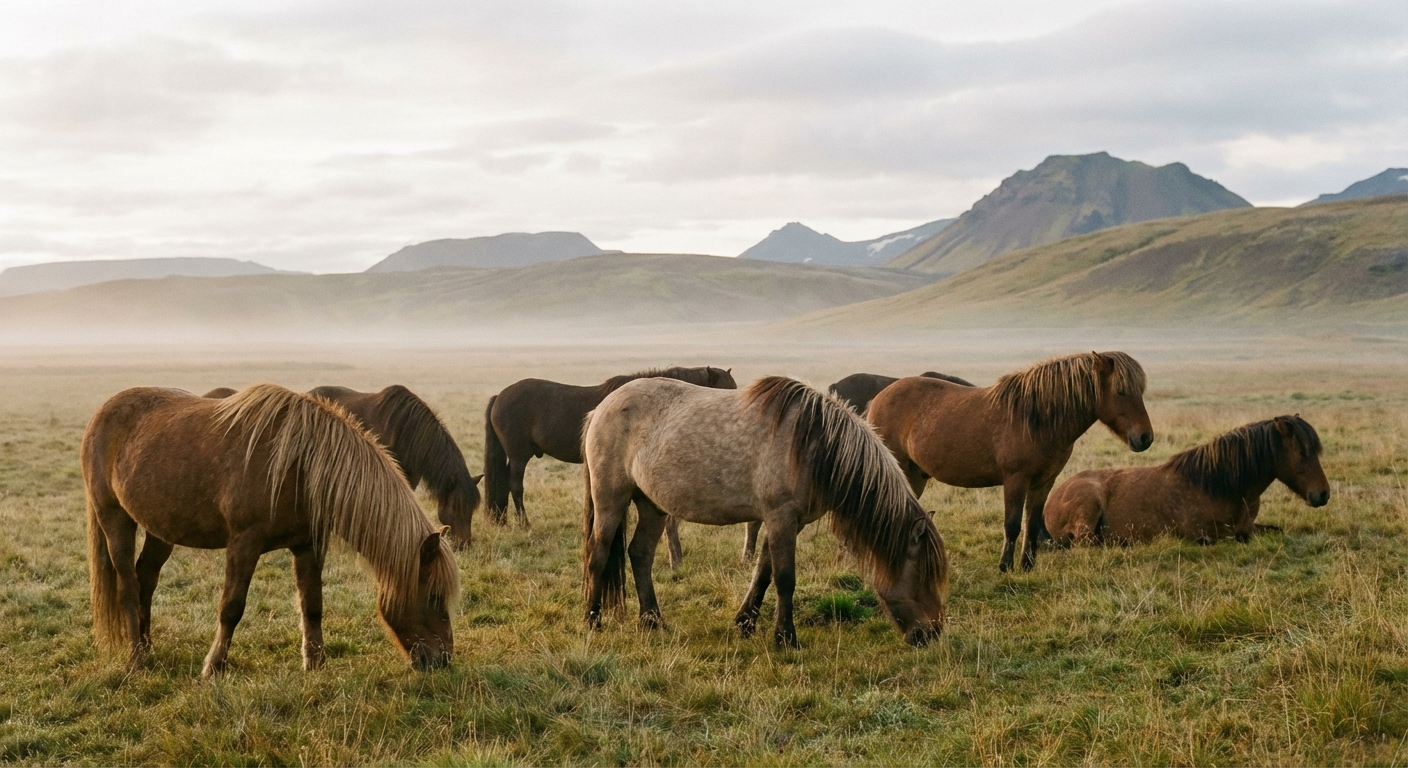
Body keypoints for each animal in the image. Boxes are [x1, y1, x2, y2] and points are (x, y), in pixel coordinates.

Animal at [83, 384, 460, 677]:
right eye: (433, 596)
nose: (442, 660)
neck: (301, 464)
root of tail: (101, 413)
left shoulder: (308, 545)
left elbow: (312, 604)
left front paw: (315, 665)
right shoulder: (243, 544)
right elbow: (232, 607)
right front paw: (213, 668)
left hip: (161, 529)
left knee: (146, 578)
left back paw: (147, 647)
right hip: (114, 518)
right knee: (128, 586)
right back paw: (136, 659)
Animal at [581, 376, 949, 648]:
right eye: (923, 575)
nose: (932, 634)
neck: (814, 444)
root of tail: (602, 408)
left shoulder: (787, 522)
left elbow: (764, 572)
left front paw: (746, 623)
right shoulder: (780, 517)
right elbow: (785, 578)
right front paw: (786, 638)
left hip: (652, 505)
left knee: (640, 554)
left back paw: (652, 620)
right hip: (611, 498)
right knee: (598, 554)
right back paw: (593, 620)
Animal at [867, 351, 1153, 573]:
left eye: (1140, 391)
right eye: (1120, 391)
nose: (1145, 438)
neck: (1037, 420)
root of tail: (879, 398)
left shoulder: (1044, 482)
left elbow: (1032, 523)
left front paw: (1027, 566)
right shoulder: (1016, 480)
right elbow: (1012, 525)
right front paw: (1005, 567)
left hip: (915, 476)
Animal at [1045, 415, 1329, 546]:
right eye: (1301, 452)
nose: (1323, 494)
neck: (1218, 485)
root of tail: (1052, 497)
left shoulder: (1249, 527)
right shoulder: (1204, 537)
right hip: (1088, 506)